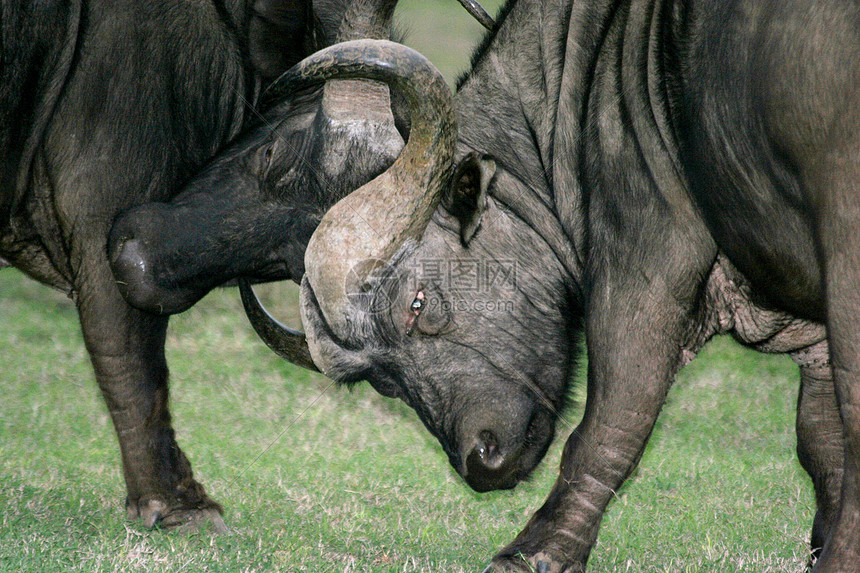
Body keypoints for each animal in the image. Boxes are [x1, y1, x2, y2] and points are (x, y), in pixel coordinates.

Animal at [240, 0, 860, 568]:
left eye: (418, 303)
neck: (604, 56)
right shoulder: (814, 340)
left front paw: (535, 552)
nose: (481, 460)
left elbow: (612, 424)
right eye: (383, 381)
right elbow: (822, 441)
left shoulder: (644, 264)